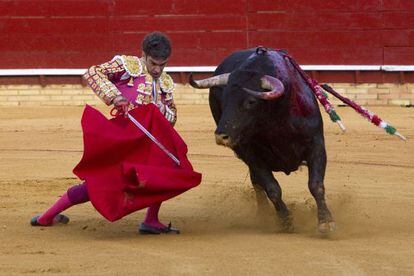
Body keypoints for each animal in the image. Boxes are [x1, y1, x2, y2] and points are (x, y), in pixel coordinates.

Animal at [191, 47, 336, 233]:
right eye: (224, 99)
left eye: (251, 101)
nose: (221, 136)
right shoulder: (250, 154)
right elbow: (272, 188)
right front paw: (286, 221)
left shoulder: (316, 144)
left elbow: (316, 184)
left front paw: (326, 222)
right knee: (257, 184)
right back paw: (263, 215)